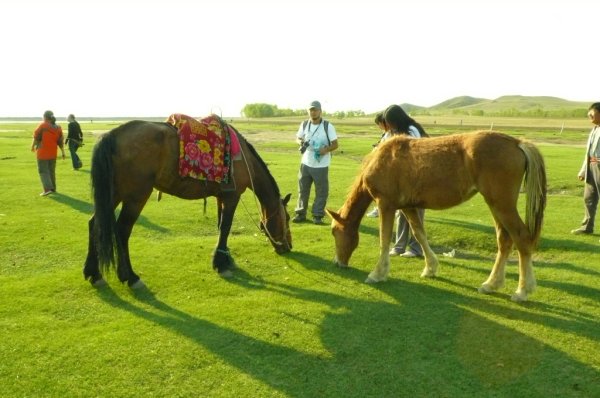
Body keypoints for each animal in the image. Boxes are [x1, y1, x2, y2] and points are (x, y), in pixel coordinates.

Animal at [83, 119, 292, 288]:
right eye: (287, 218)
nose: (288, 246)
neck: (242, 157)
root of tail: (112, 135)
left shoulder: (221, 196)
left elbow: (220, 226)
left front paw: (225, 257)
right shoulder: (232, 197)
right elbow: (226, 227)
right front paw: (220, 264)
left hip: (114, 193)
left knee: (95, 224)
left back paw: (94, 274)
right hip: (136, 196)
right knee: (122, 230)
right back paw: (131, 277)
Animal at [326, 131, 548, 302]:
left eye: (334, 232)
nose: (338, 263)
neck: (383, 159)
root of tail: (516, 142)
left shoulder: (385, 205)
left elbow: (384, 238)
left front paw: (378, 273)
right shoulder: (408, 207)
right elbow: (419, 234)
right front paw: (430, 268)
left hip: (502, 204)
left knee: (521, 238)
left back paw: (522, 290)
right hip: (496, 205)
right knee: (504, 240)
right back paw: (491, 284)